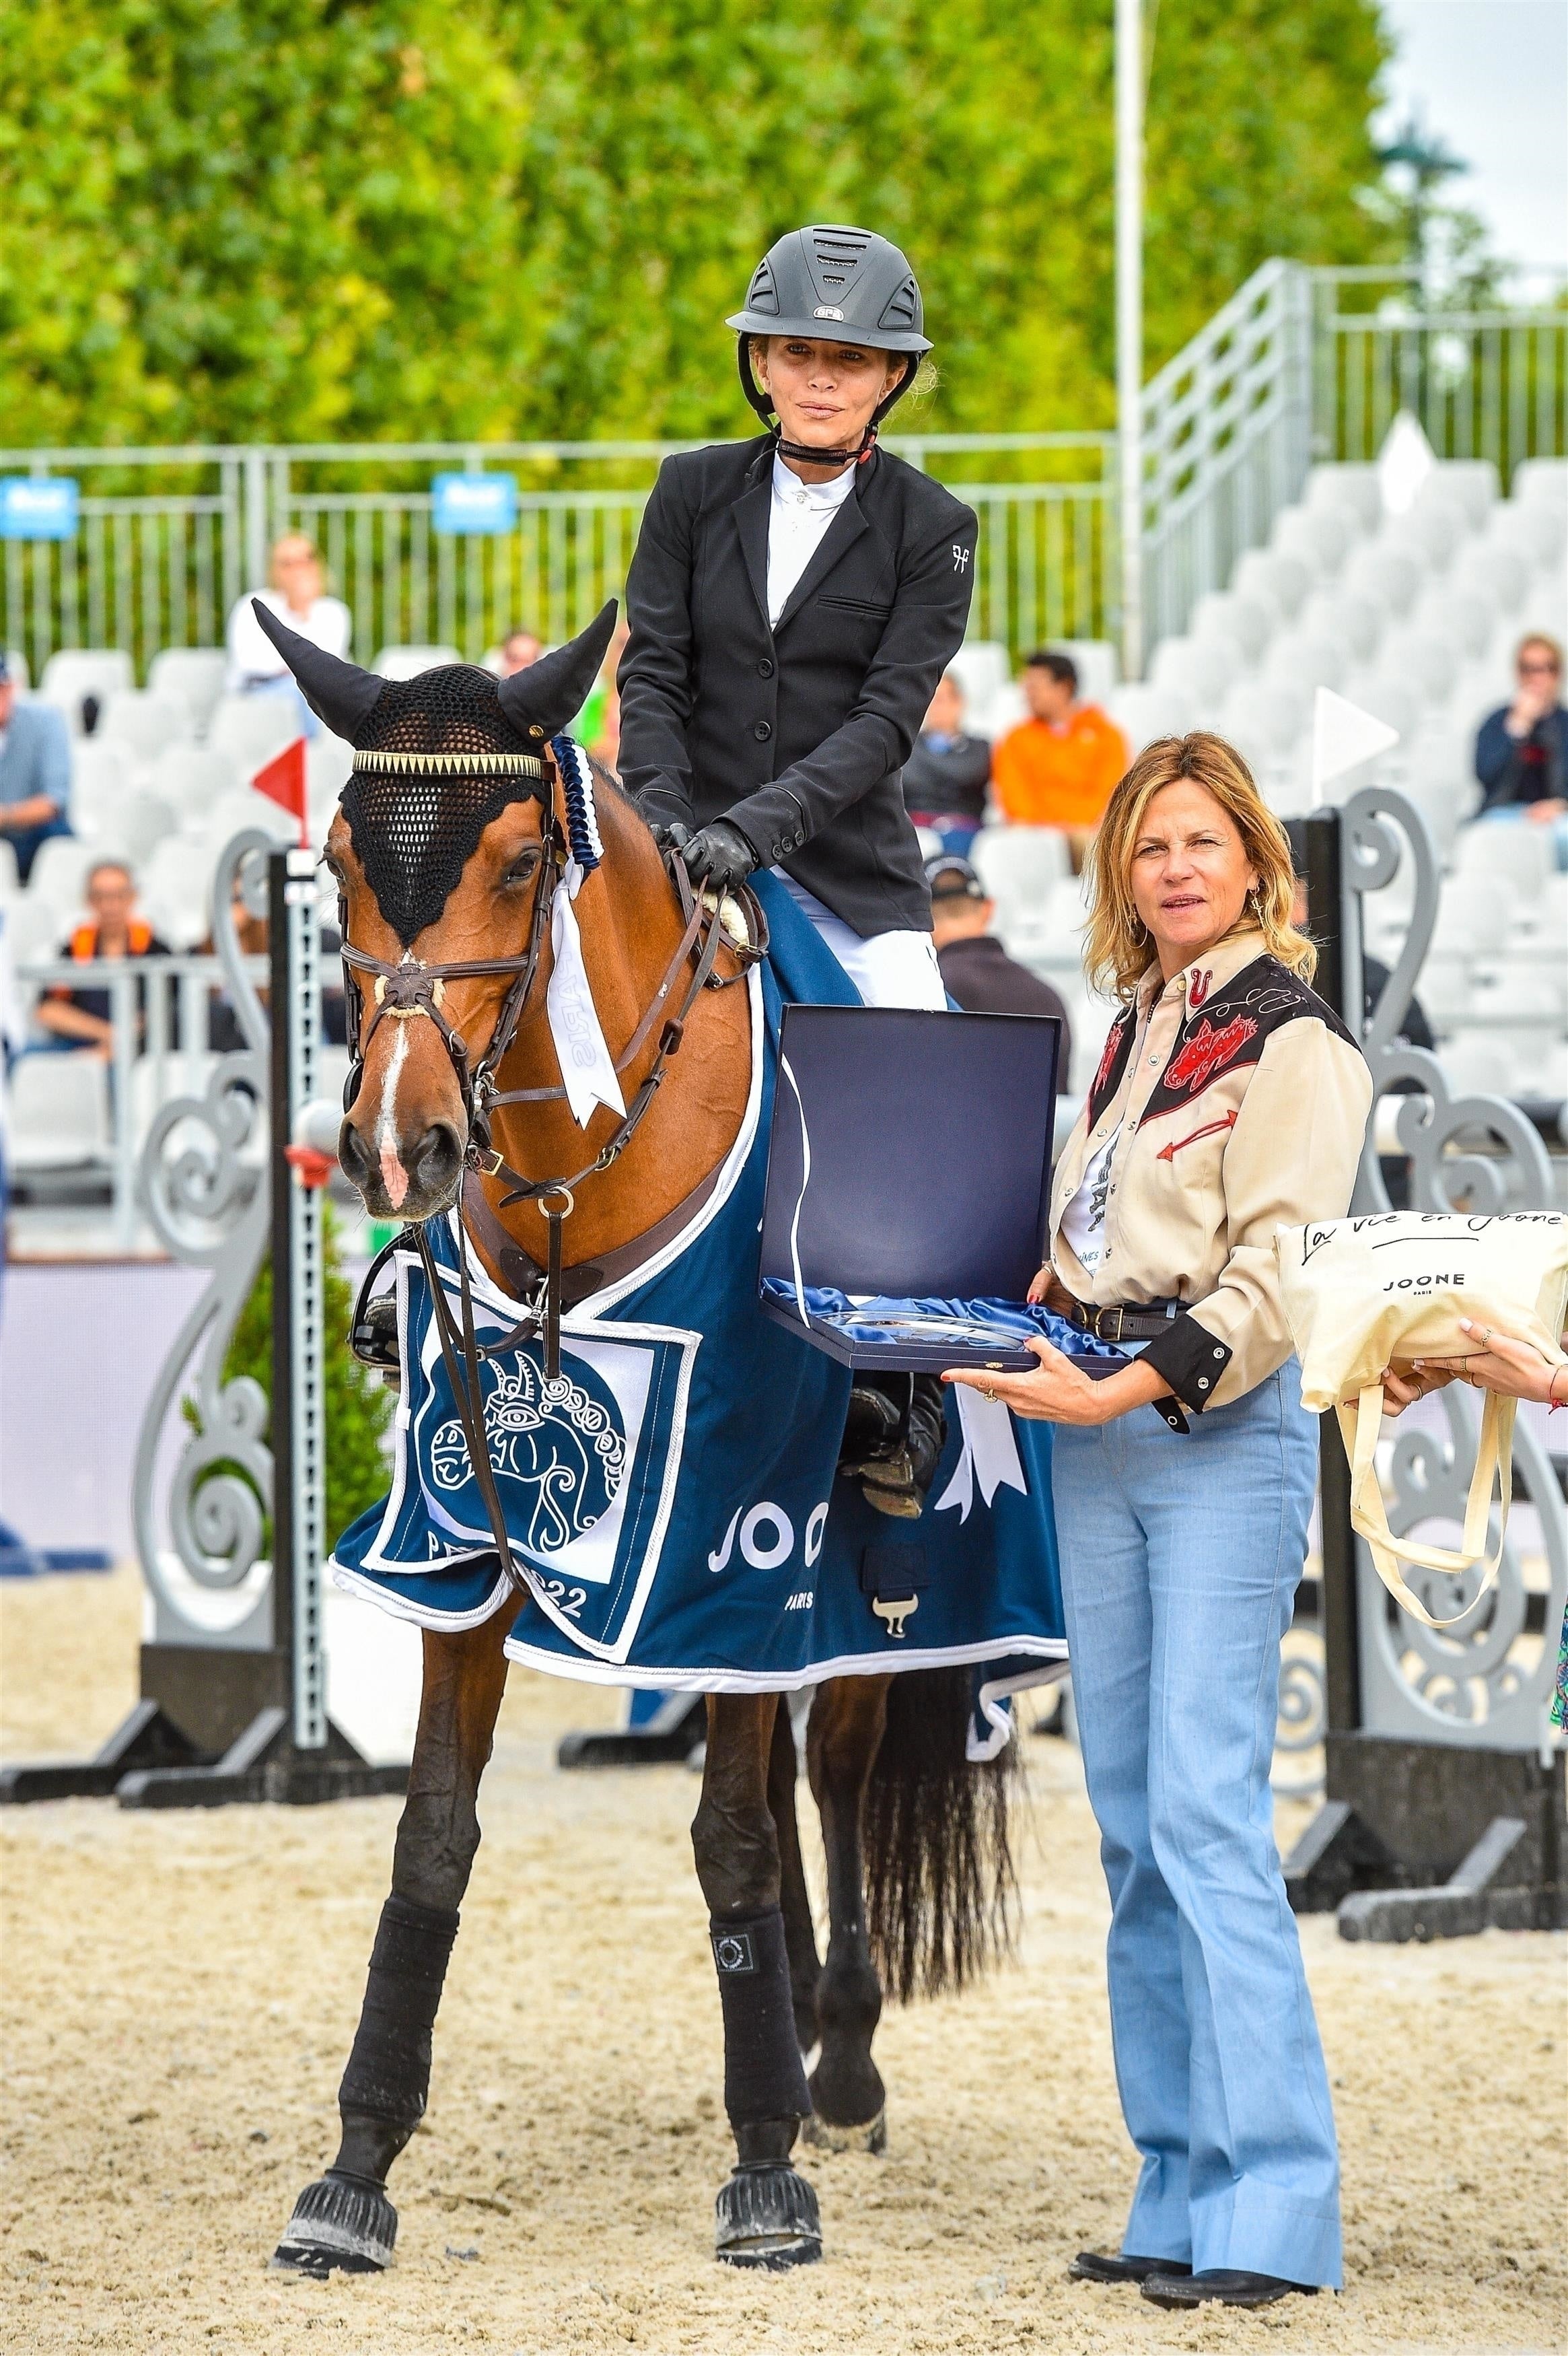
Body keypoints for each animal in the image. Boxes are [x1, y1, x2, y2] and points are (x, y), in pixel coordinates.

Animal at [256, 598, 1012, 2271]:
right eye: (334, 857)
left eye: (516, 863)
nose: (398, 1145)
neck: (569, 1174)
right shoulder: (468, 1545)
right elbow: (432, 1838)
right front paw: (356, 2168)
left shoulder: (737, 1526)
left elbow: (732, 1836)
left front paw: (766, 2170)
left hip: (841, 1570)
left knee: (831, 1766)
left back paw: (836, 2060)